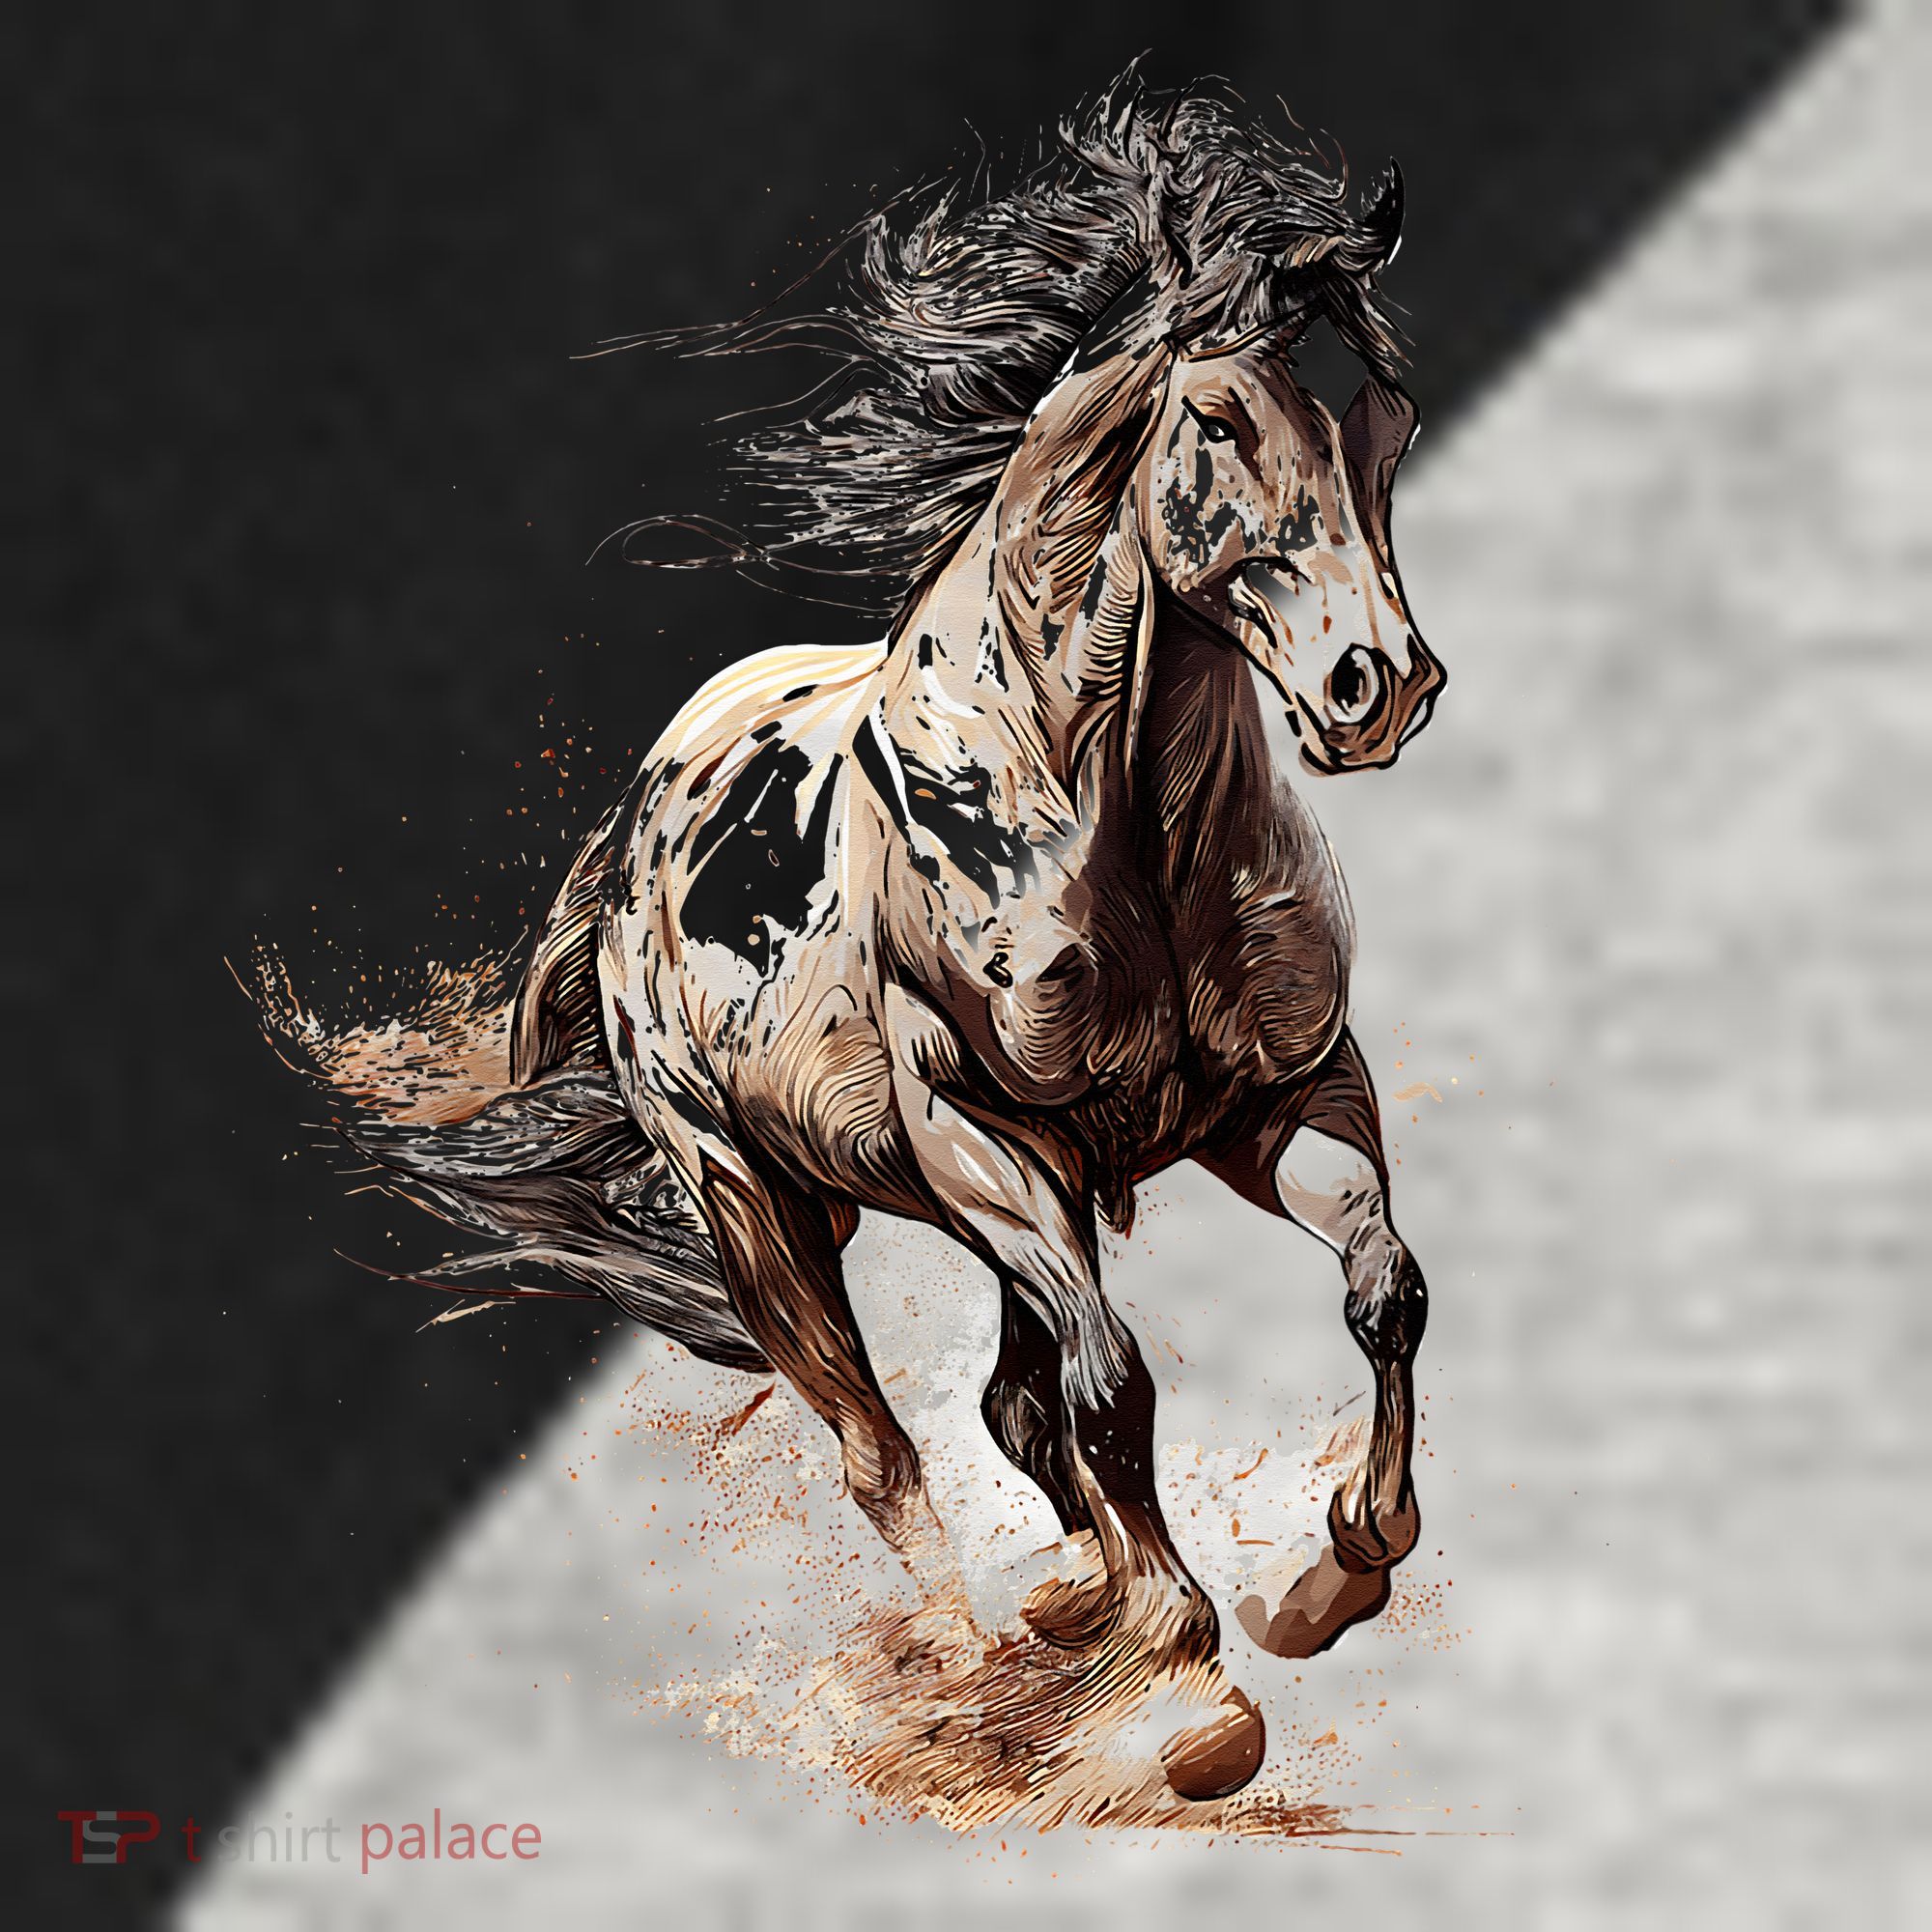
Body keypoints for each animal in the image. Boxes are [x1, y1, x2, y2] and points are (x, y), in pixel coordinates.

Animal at [291, 79, 1445, 1804]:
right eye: (1223, 417)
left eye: (1388, 428)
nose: (1380, 686)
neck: (1094, 810)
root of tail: (633, 832)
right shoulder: (986, 1140)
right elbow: (1114, 1393)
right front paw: (1197, 1698)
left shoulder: (1276, 1099)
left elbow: (1383, 1291)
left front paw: (1330, 1578)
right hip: (762, 1206)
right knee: (886, 1450)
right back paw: (979, 1661)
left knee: (1010, 1409)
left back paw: (1070, 1602)